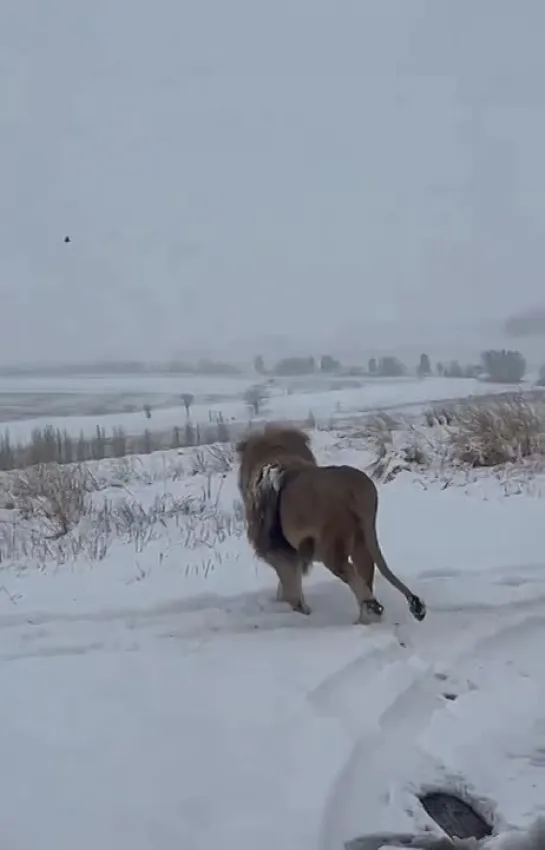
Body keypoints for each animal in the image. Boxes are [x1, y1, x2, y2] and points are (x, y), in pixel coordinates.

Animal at [236, 422, 428, 624]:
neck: (278, 455)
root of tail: (353, 485)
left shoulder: (277, 549)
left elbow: (290, 582)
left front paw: (296, 609)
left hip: (330, 546)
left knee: (350, 573)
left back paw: (371, 610)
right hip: (362, 539)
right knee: (365, 573)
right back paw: (365, 618)